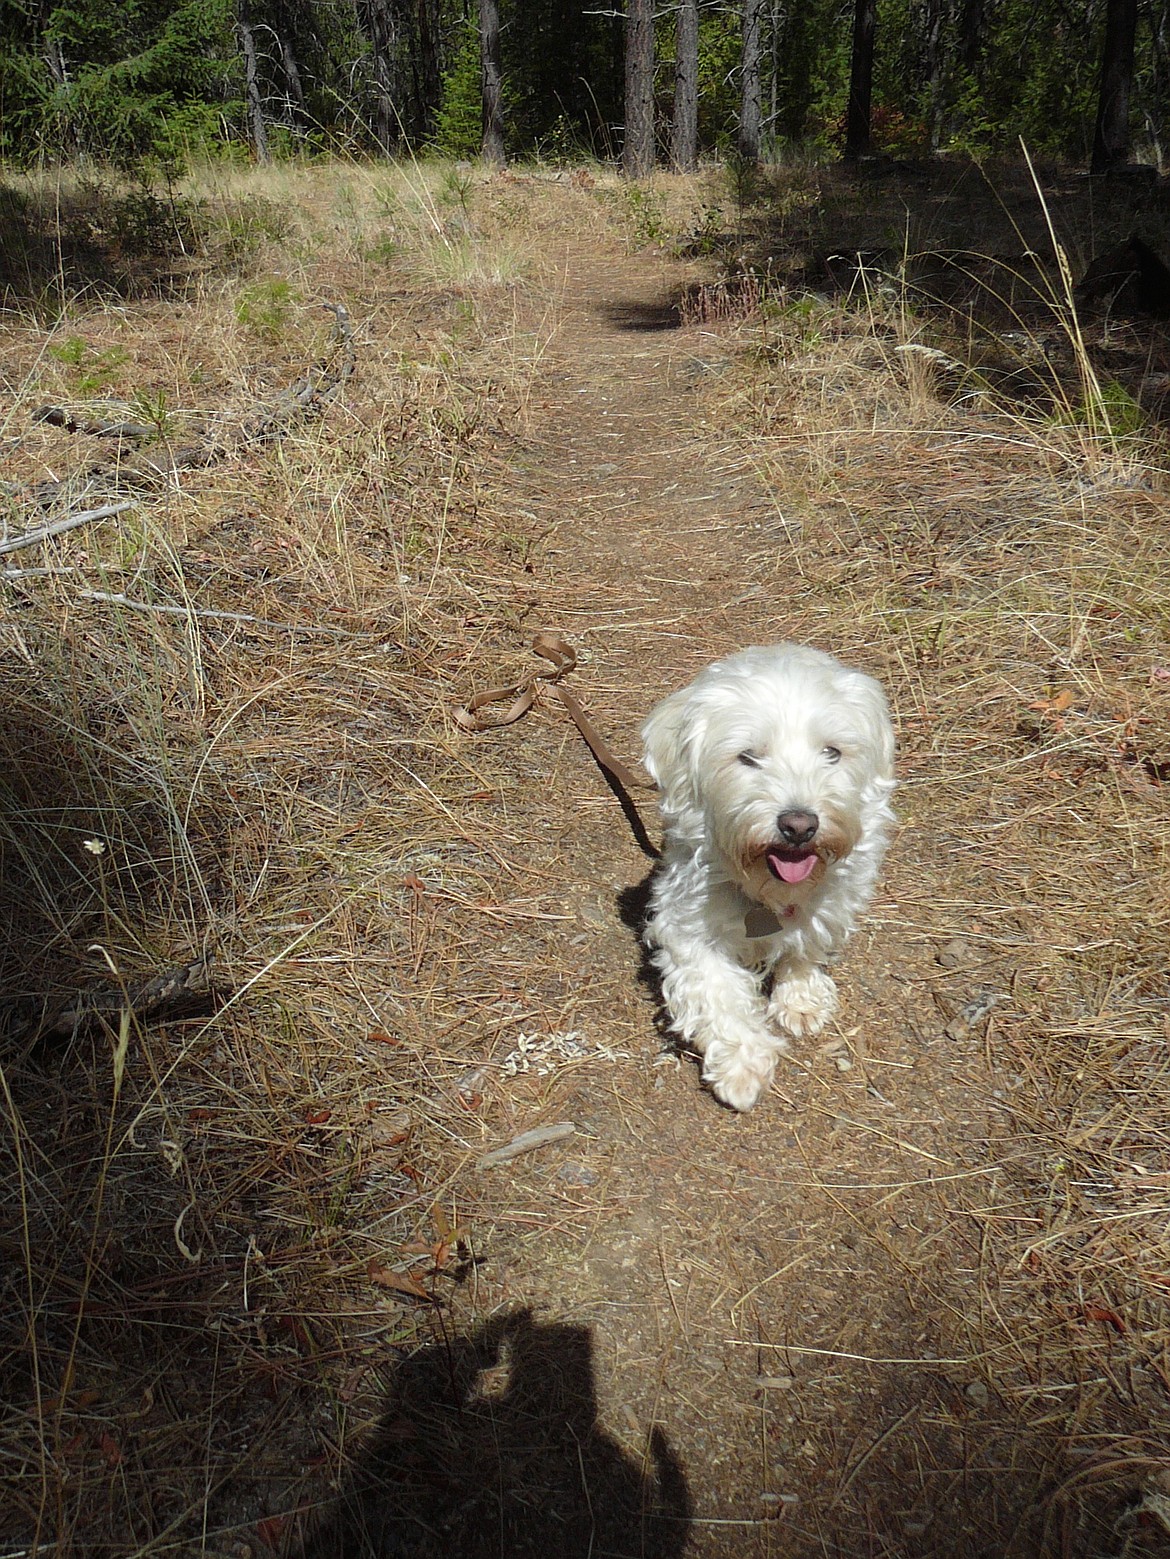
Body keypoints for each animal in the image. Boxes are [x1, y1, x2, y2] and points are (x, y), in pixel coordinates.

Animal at [642, 645, 898, 1110]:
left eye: (831, 752)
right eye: (748, 756)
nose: (799, 825)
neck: (769, 889)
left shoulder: (830, 903)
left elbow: (805, 947)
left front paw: (801, 997)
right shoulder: (684, 925)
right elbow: (716, 993)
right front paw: (742, 1067)